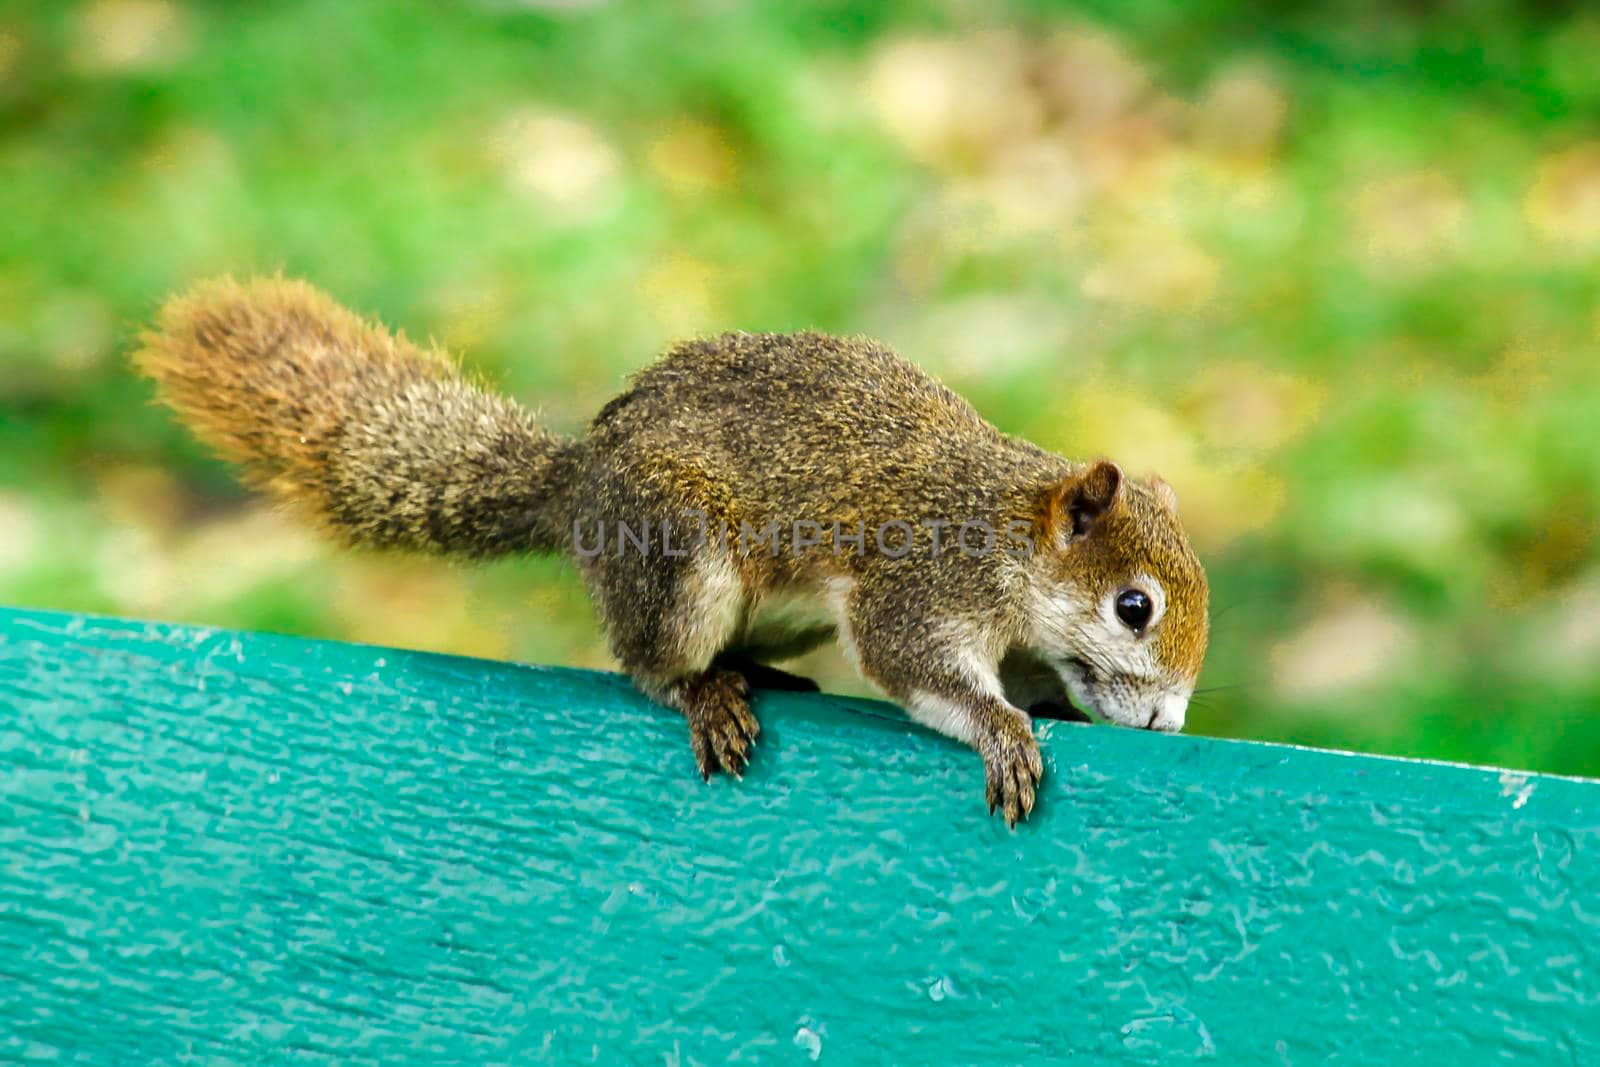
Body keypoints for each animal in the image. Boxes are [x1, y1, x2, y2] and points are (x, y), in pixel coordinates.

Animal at [137, 275, 1203, 825]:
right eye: (1134, 606)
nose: (1167, 723)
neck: (1009, 531)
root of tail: (582, 486)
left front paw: (1048, 707)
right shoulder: (920, 582)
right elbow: (919, 667)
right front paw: (1003, 732)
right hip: (681, 554)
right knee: (648, 664)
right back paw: (705, 692)